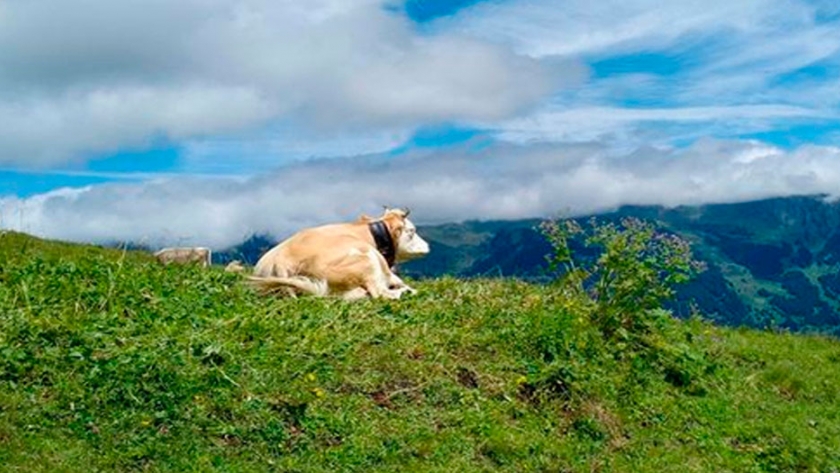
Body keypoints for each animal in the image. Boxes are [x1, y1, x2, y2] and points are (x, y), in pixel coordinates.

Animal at [246, 206, 430, 298]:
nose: (428, 246)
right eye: (411, 231)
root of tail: (281, 262)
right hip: (367, 260)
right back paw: (408, 293)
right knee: (380, 293)